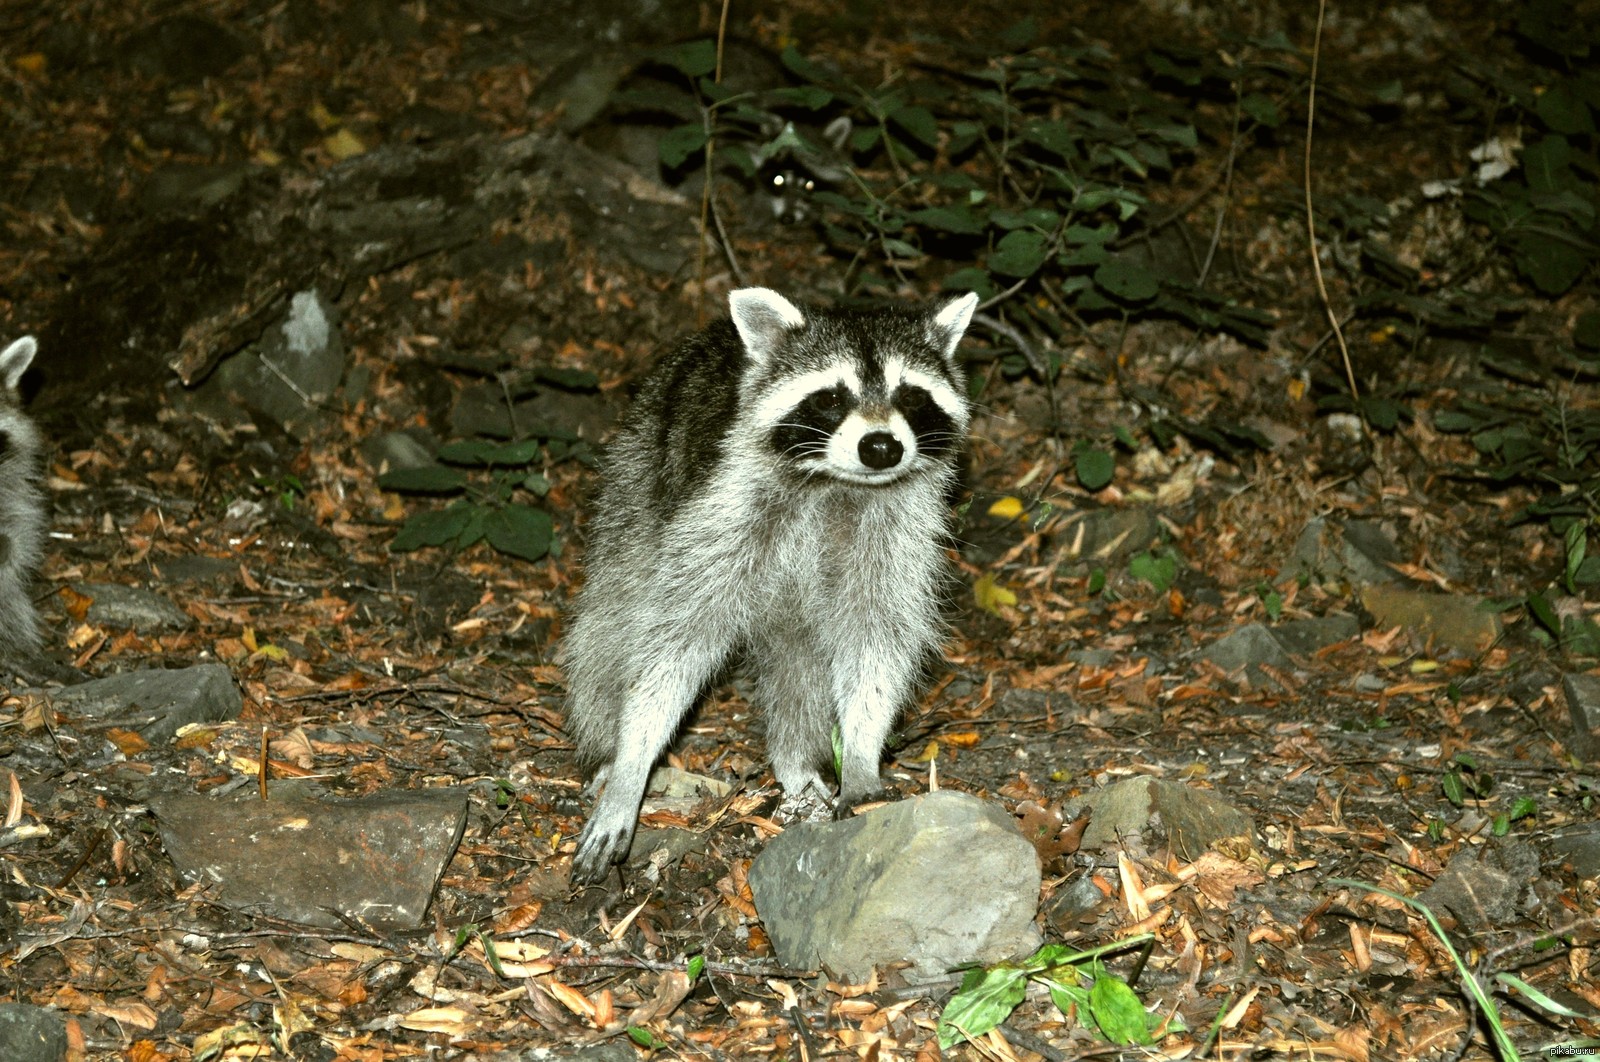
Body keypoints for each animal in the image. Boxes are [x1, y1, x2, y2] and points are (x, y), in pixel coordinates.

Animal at [569, 286, 979, 882]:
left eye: (910, 395)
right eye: (830, 398)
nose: (882, 447)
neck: (836, 483)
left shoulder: (893, 530)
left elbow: (875, 638)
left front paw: (861, 752)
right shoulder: (723, 509)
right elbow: (674, 643)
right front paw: (631, 762)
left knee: (797, 659)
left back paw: (794, 763)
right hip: (639, 474)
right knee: (613, 615)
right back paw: (605, 741)